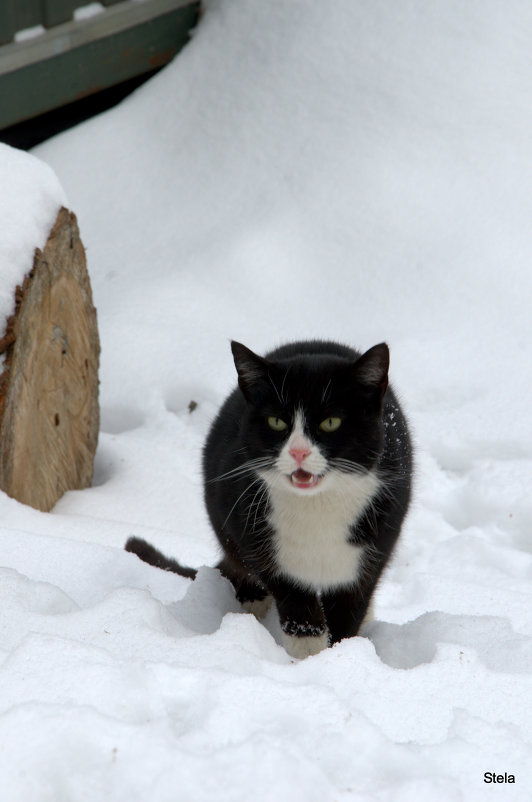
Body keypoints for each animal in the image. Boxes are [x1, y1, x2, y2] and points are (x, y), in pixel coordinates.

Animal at [127, 338, 414, 656]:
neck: (317, 507)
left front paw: (339, 655)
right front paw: (308, 656)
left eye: (331, 422)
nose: (298, 451)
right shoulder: (255, 538)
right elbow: (296, 605)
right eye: (276, 422)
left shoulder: (377, 545)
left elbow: (350, 608)